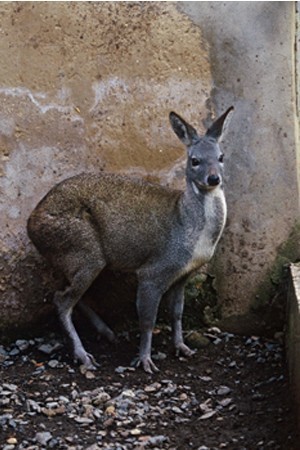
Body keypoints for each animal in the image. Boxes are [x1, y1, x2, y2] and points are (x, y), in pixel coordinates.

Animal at [27, 105, 234, 372]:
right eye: (195, 160)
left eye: (221, 157)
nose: (214, 179)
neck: (189, 227)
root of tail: (31, 224)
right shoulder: (154, 270)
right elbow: (147, 320)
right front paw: (145, 360)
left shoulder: (184, 273)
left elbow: (177, 313)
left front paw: (182, 347)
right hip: (82, 249)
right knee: (61, 300)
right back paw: (83, 355)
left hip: (76, 257)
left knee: (69, 293)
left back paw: (106, 333)